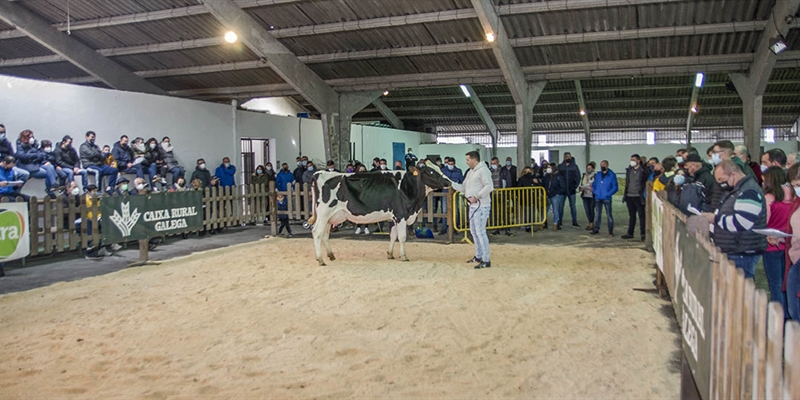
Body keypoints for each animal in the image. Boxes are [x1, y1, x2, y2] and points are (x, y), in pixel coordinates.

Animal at [310, 159, 454, 266]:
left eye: (439, 168)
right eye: (431, 171)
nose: (449, 181)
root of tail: (318, 173)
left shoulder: (395, 218)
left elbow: (393, 236)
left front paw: (390, 254)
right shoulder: (401, 215)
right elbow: (402, 237)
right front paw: (404, 256)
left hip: (330, 217)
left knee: (325, 234)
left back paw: (330, 255)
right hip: (323, 213)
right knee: (317, 232)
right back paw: (321, 260)